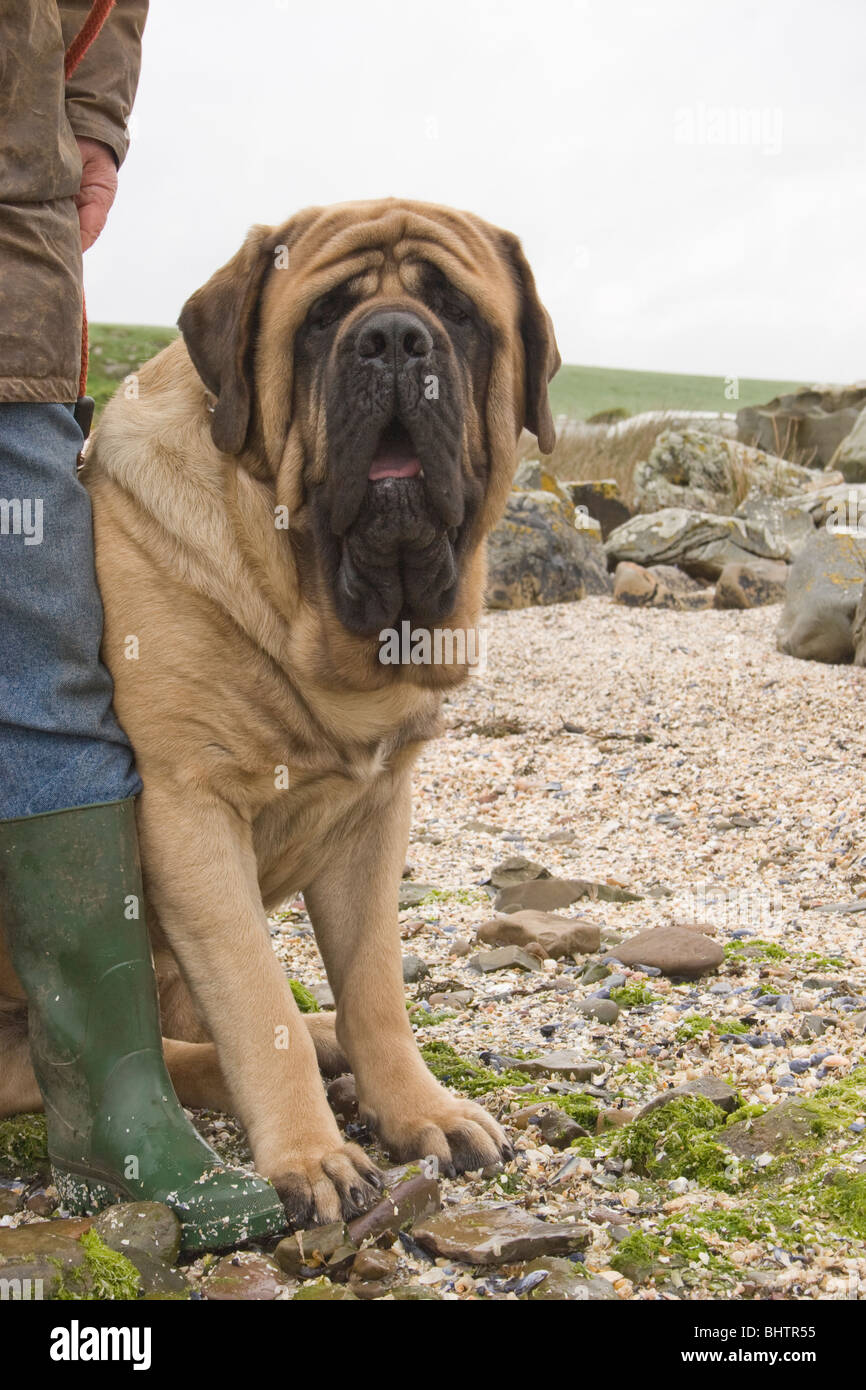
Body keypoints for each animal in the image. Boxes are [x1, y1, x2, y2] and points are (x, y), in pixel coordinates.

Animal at [0, 201, 561, 1223]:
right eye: (323, 316)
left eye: (459, 312)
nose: (393, 339)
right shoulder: (189, 812)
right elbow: (258, 1006)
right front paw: (312, 1156)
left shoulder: (375, 818)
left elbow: (377, 986)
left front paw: (417, 1108)